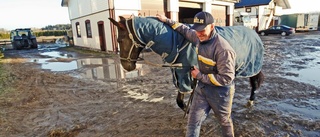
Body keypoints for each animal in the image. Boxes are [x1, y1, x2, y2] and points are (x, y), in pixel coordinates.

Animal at [109, 15, 264, 111]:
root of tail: (254, 32)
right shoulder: (179, 73)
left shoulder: (186, 74)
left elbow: (184, 99)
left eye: (119, 40)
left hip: (251, 67)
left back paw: (251, 101)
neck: (177, 41)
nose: (126, 66)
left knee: (254, 83)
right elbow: (180, 100)